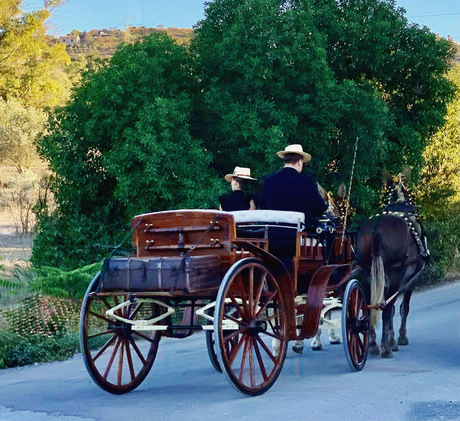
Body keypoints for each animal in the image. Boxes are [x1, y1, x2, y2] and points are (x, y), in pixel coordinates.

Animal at [356, 176, 428, 356]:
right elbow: (403, 308)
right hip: (393, 274)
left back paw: (373, 345)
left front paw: (392, 337)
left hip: (367, 273)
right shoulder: (410, 277)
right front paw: (399, 338)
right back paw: (385, 347)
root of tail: (375, 230)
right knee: (386, 308)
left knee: (370, 307)